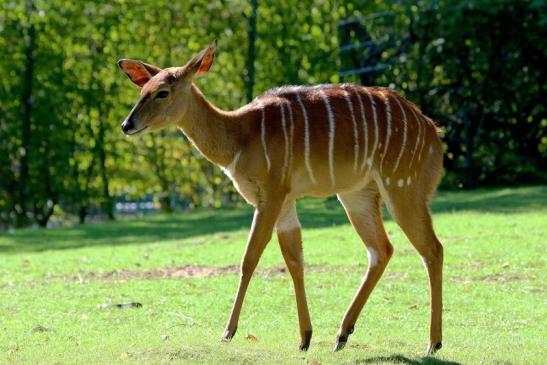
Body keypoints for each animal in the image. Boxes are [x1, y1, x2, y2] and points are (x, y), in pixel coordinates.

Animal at [120, 40, 446, 352]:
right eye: (142, 90)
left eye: (162, 92)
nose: (127, 124)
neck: (240, 135)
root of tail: (433, 132)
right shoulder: (286, 200)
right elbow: (294, 260)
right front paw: (305, 338)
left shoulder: (272, 194)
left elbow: (249, 258)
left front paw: (228, 332)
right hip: (356, 195)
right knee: (382, 250)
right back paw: (342, 335)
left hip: (402, 187)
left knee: (432, 249)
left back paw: (433, 342)